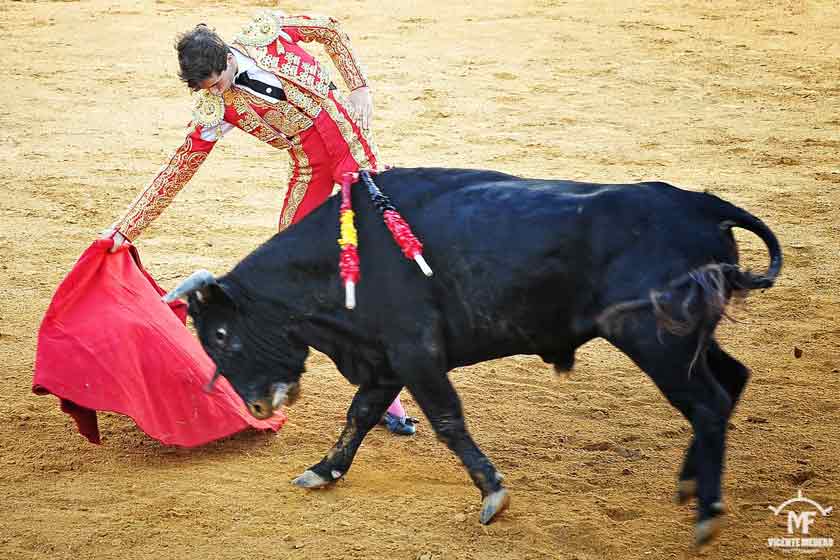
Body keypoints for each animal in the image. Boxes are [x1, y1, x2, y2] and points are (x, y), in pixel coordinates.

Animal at [169, 166, 780, 544]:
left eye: (219, 334)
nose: (257, 406)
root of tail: (702, 205)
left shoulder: (415, 353)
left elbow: (447, 420)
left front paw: (493, 494)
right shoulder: (386, 359)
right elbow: (359, 415)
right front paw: (324, 470)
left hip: (656, 339)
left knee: (707, 403)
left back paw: (706, 513)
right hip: (687, 338)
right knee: (730, 382)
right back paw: (692, 486)